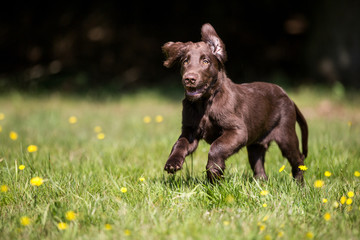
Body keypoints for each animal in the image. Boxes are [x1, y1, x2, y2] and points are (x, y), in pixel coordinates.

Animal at [162, 23, 308, 183]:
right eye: (185, 61)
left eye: (205, 61)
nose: (189, 79)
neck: (205, 103)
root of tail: (288, 97)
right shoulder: (190, 130)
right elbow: (180, 144)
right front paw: (172, 163)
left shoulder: (238, 131)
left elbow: (216, 146)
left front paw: (214, 172)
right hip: (256, 144)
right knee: (259, 167)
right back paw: (261, 184)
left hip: (286, 134)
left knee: (298, 160)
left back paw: (299, 185)